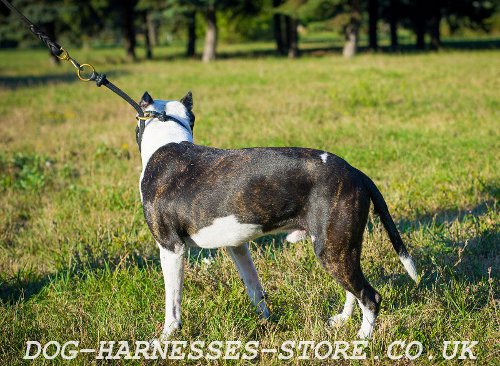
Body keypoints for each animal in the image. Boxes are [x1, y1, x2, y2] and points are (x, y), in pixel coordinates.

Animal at [136, 91, 418, 340]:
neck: (167, 137)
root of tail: (355, 172)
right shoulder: (237, 246)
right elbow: (255, 288)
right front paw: (267, 321)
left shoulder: (171, 248)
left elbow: (172, 303)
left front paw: (165, 337)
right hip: (342, 247)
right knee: (354, 290)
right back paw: (343, 320)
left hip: (331, 250)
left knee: (370, 297)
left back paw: (363, 338)